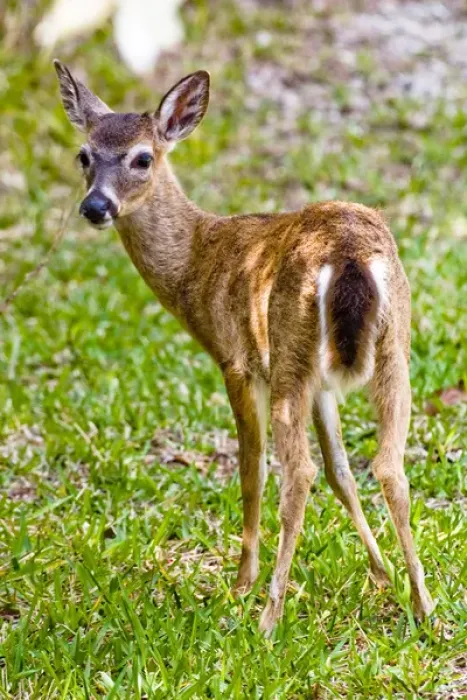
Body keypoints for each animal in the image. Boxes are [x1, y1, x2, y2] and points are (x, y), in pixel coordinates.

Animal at [54, 60, 434, 634]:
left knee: (296, 473)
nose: (96, 206)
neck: (197, 264)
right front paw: (381, 573)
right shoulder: (321, 383)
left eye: (142, 158)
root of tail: (348, 254)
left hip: (291, 351)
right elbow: (342, 472)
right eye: (84, 154)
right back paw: (425, 605)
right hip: (391, 348)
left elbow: (252, 469)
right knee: (388, 466)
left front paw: (240, 584)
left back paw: (269, 617)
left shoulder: (237, 359)